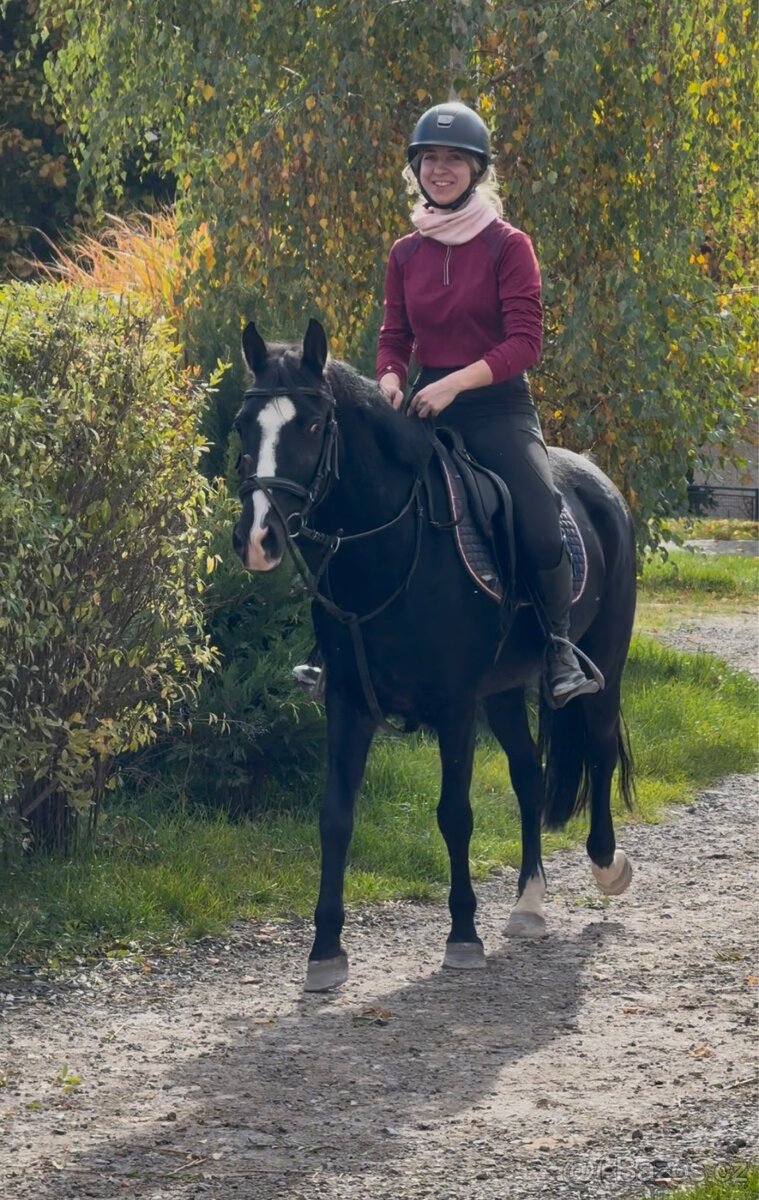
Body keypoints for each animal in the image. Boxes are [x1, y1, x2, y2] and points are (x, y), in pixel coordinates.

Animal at [232, 318, 637, 993]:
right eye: (244, 425)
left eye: (312, 426)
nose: (258, 538)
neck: (392, 549)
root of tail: (602, 484)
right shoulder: (347, 702)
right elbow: (335, 815)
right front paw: (325, 951)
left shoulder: (454, 707)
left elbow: (454, 814)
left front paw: (463, 935)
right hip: (504, 691)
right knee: (529, 775)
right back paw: (528, 904)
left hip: (603, 663)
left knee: (601, 750)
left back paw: (608, 867)